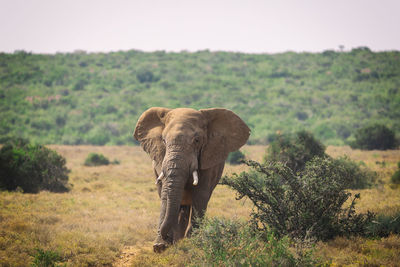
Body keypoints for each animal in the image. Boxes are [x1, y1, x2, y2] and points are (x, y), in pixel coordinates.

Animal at [134, 107, 250, 253]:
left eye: (197, 140)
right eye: (164, 141)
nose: (165, 238)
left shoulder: (209, 158)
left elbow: (200, 195)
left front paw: (193, 243)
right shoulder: (161, 161)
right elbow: (165, 194)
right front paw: (160, 246)